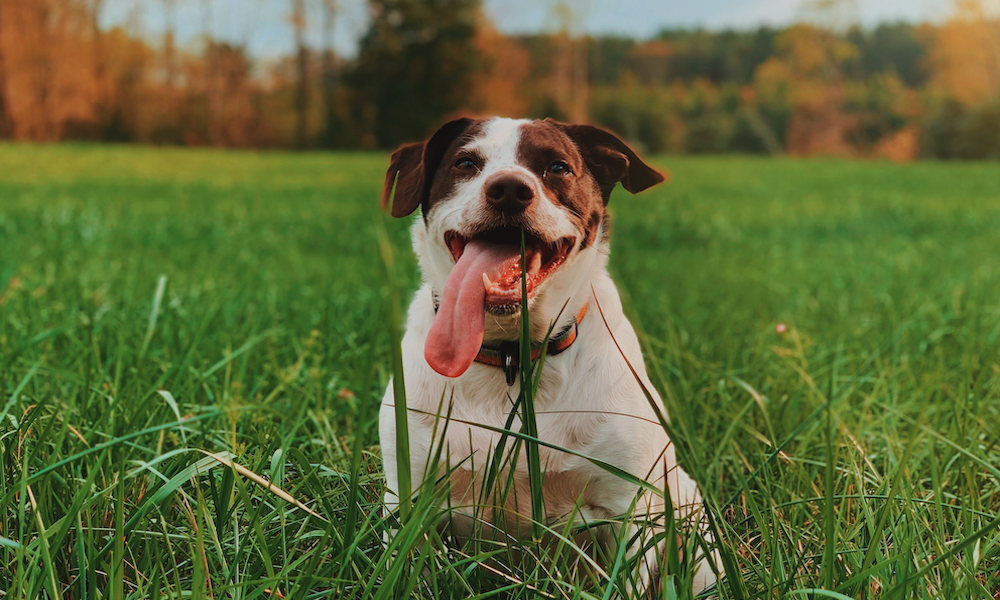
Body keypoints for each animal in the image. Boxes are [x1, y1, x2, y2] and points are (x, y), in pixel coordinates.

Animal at [378, 118, 716, 596]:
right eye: (465, 163)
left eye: (557, 167)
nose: (509, 189)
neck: (511, 357)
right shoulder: (408, 500)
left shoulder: (630, 510)